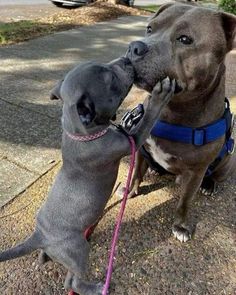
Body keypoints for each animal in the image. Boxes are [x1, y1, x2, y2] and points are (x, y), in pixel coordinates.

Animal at [0, 58, 175, 295]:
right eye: (110, 78)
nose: (126, 59)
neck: (82, 133)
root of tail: (40, 235)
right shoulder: (132, 140)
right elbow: (147, 120)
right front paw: (158, 96)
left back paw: (44, 257)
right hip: (78, 250)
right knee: (71, 282)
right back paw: (94, 288)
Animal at [124, 2, 235, 243]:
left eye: (185, 39)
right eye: (149, 29)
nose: (134, 47)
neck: (172, 111)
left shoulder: (196, 171)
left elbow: (184, 201)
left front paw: (181, 226)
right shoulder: (140, 149)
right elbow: (135, 173)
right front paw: (129, 190)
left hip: (227, 162)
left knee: (215, 175)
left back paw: (209, 185)